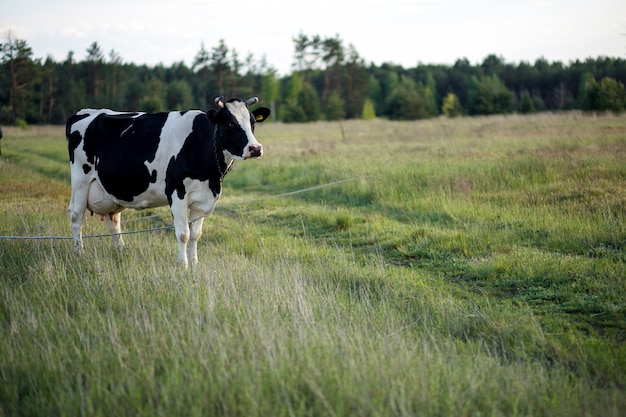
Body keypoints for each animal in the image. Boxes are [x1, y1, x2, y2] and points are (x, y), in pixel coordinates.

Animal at [66, 96, 270, 266]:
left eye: (252, 122)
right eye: (229, 123)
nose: (256, 148)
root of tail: (84, 113)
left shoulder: (202, 198)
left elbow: (195, 235)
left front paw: (194, 264)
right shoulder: (176, 191)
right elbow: (183, 234)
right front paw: (183, 265)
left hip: (110, 190)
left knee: (113, 219)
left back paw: (121, 251)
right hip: (80, 178)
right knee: (76, 214)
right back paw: (79, 253)